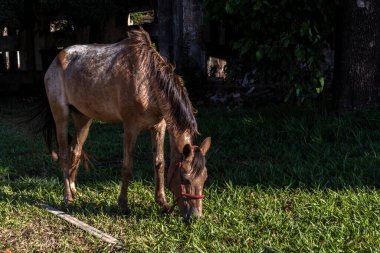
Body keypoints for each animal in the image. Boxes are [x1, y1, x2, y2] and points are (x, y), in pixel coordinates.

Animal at [31, 27, 212, 220]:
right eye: (185, 178)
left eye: (204, 178)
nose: (195, 216)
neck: (148, 79)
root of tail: (56, 60)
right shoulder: (130, 126)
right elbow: (127, 166)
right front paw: (123, 205)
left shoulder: (159, 126)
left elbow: (159, 163)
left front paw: (162, 202)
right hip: (61, 116)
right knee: (64, 155)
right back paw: (68, 198)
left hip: (84, 119)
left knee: (76, 152)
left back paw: (74, 191)